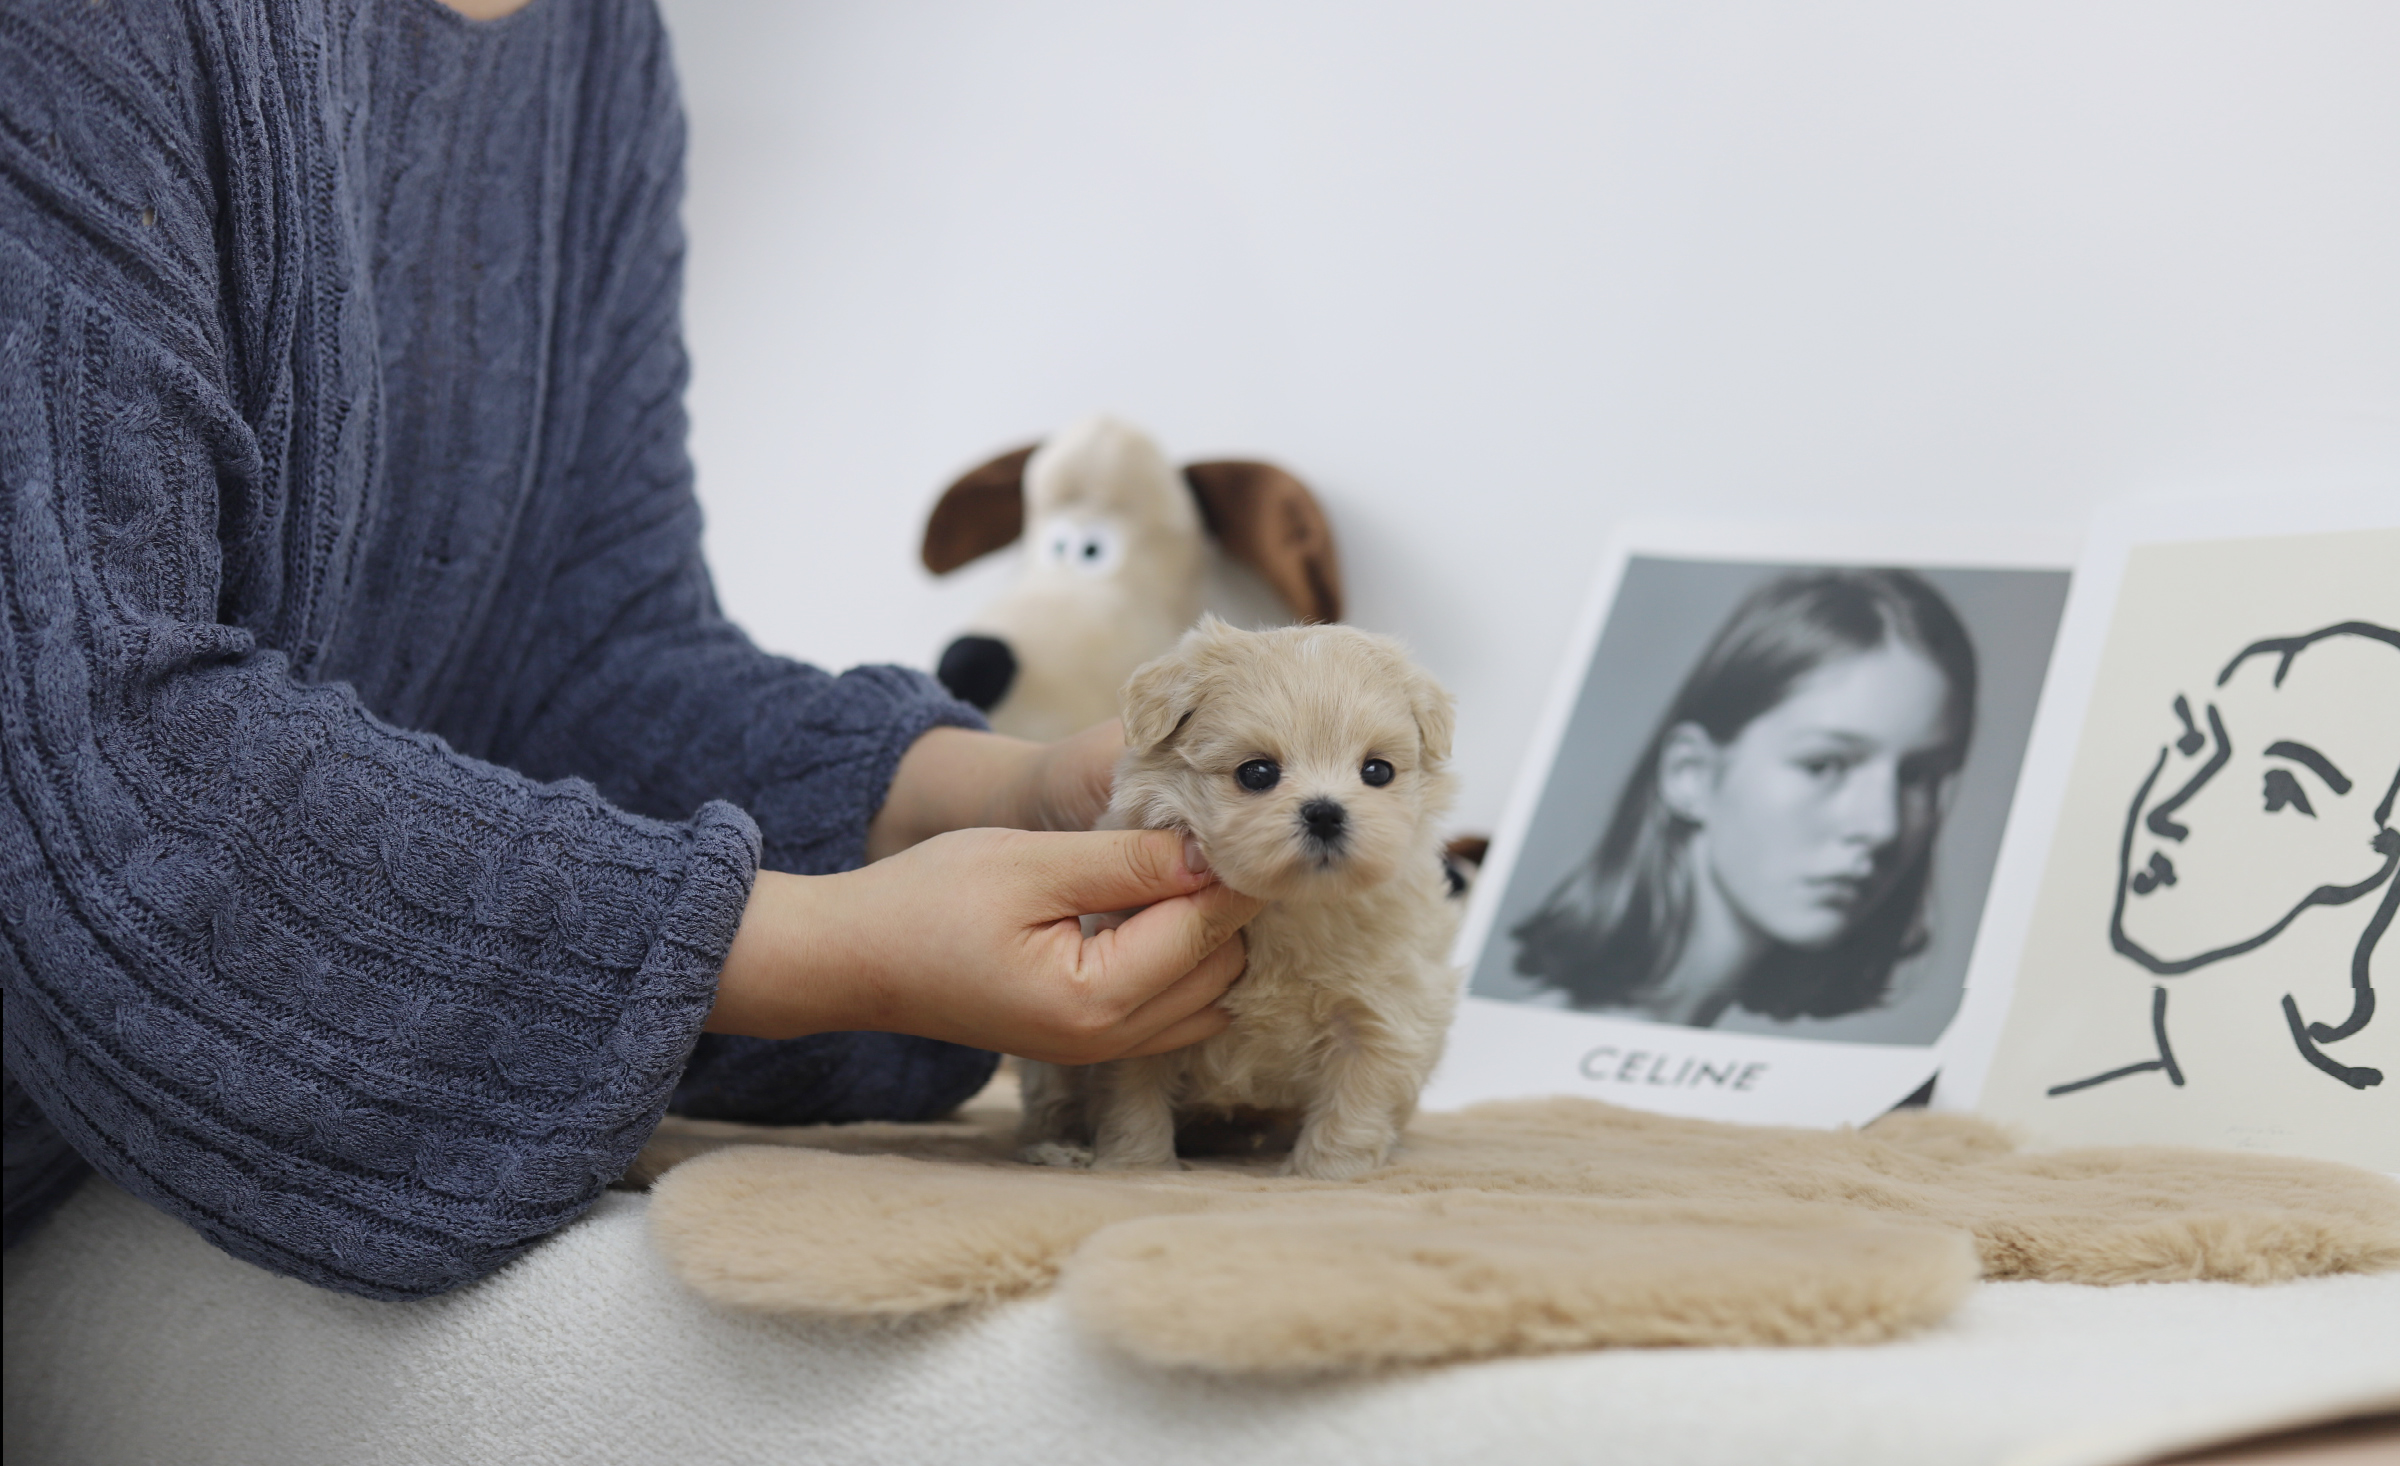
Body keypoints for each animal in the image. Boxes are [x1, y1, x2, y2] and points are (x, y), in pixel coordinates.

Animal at [1017, 614, 1459, 1180]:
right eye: (1257, 773)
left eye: (1377, 771)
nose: (1325, 812)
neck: (1292, 905)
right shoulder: (1136, 1029)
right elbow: (1132, 1098)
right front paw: (1137, 1165)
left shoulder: (1383, 1014)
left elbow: (1355, 1102)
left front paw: (1327, 1174)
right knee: (1051, 1106)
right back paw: (1057, 1150)